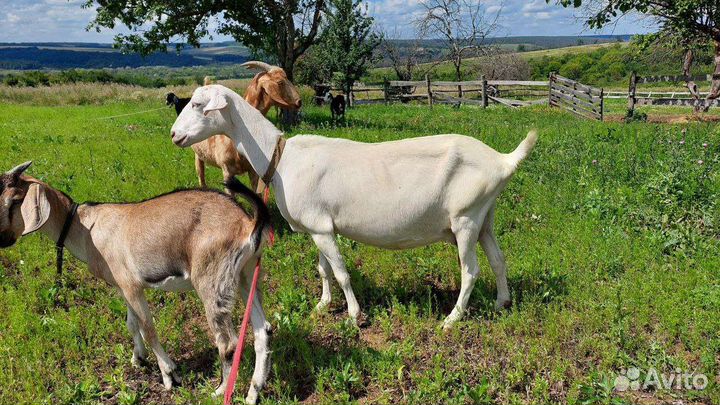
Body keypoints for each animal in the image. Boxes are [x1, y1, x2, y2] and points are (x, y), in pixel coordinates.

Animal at [0, 162, 270, 404]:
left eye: (15, 200)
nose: (2, 238)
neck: (86, 228)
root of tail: (247, 224)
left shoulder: (131, 285)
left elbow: (149, 329)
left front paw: (169, 374)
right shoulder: (124, 287)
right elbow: (132, 324)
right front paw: (137, 359)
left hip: (211, 280)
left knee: (228, 342)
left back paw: (220, 390)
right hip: (247, 276)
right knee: (263, 331)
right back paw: (252, 393)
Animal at [171, 85, 538, 329]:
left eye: (200, 104)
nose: (175, 135)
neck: (282, 157)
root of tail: (502, 161)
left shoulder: (322, 228)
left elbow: (342, 272)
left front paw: (354, 315)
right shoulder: (318, 227)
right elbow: (324, 269)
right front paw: (322, 305)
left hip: (464, 218)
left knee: (470, 270)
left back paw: (451, 319)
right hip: (484, 215)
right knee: (498, 259)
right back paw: (502, 302)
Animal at [189, 62, 302, 195]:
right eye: (280, 82)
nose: (299, 101)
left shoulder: (253, 171)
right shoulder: (226, 171)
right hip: (197, 155)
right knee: (201, 177)